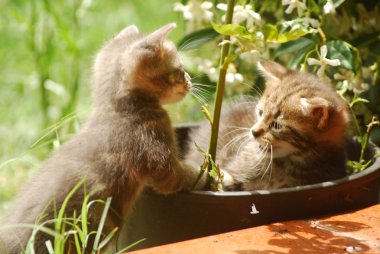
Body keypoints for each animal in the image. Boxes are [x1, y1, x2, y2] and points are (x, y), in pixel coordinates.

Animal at [0, 22, 202, 253]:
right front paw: (213, 176)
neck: (118, 111)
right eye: (178, 70)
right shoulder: (154, 147)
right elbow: (180, 177)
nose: (189, 80)